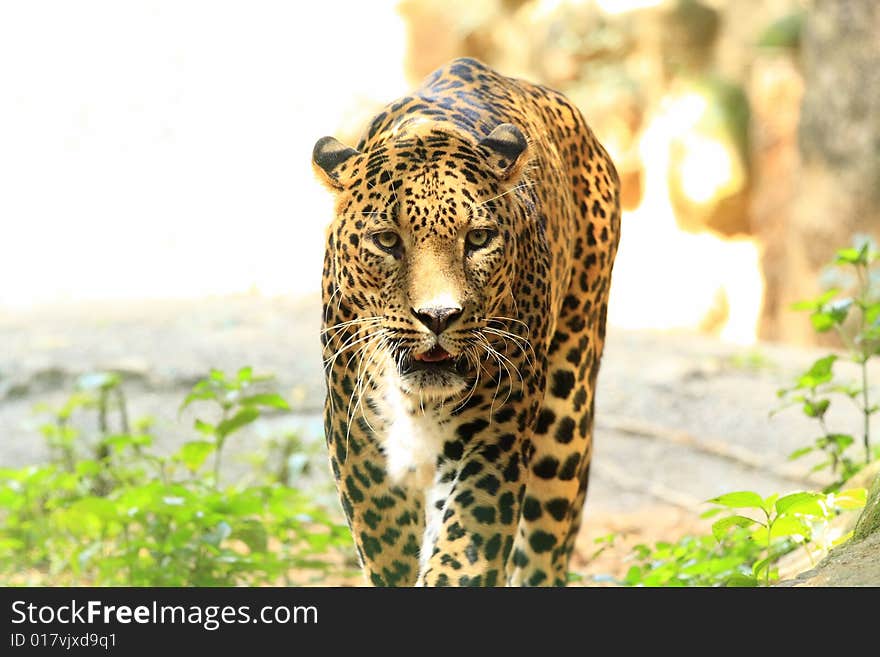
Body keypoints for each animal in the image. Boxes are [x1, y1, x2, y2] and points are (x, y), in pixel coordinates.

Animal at [312, 56, 624, 584]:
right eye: (388, 241)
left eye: (477, 239)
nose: (439, 316)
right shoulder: (355, 431)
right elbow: (386, 544)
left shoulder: (495, 434)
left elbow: (463, 551)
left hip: (567, 414)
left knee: (544, 550)